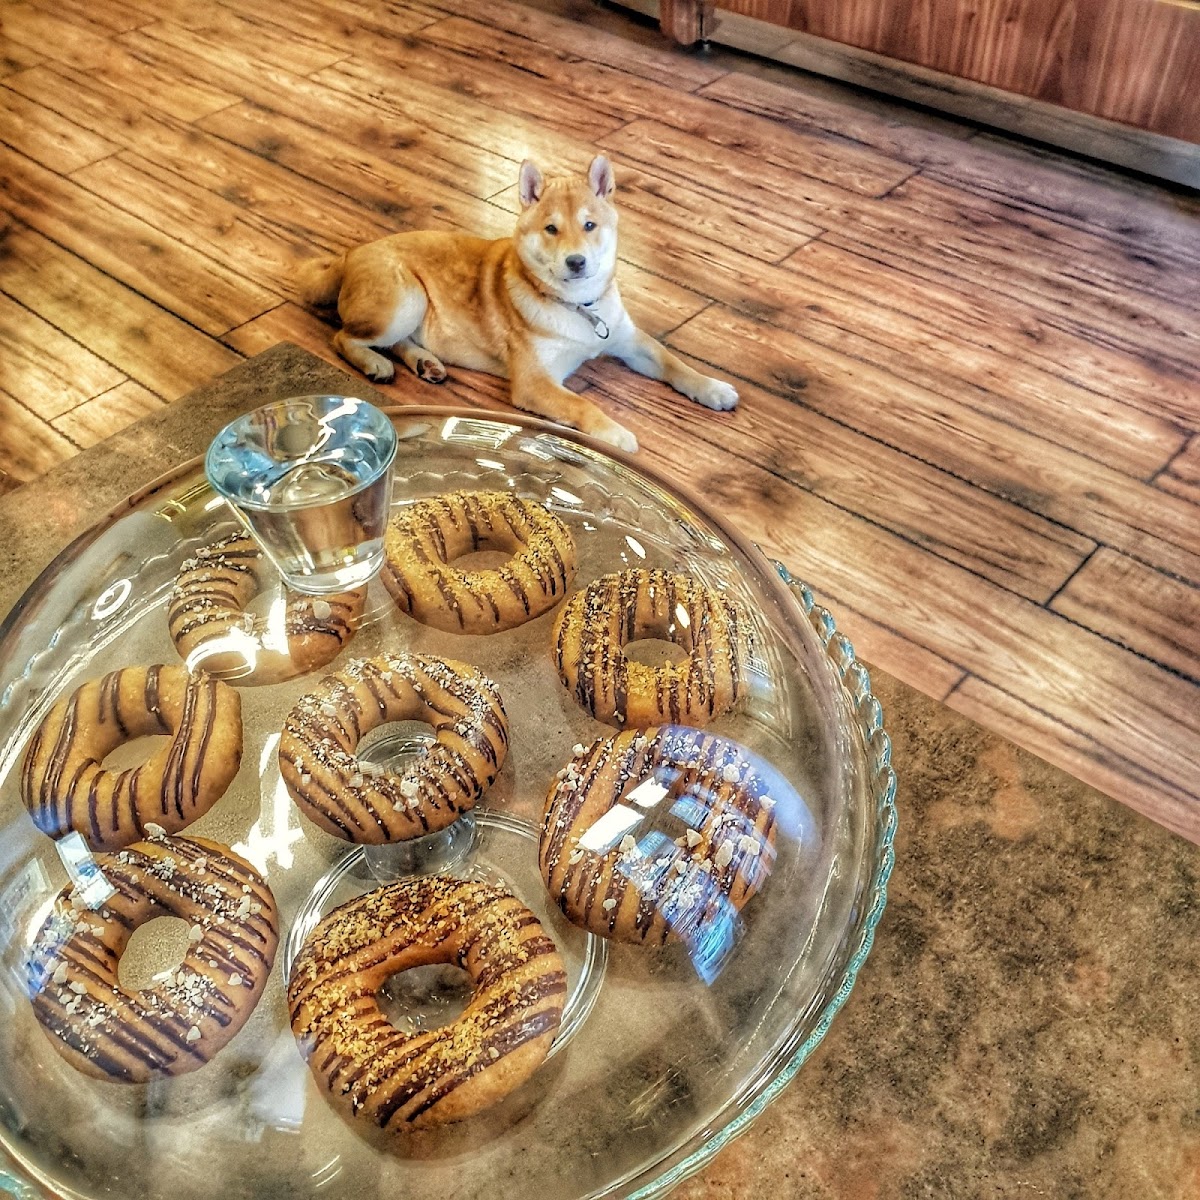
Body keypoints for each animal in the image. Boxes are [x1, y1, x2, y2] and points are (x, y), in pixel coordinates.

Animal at [295, 151, 734, 451]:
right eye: (551, 229)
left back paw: (425, 362)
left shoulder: (628, 339)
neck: (580, 309)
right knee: (343, 337)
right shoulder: (535, 382)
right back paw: (375, 363)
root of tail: (352, 252)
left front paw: (712, 388)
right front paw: (616, 433)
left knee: (395, 341)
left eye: (590, 225)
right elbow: (583, 406)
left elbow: (674, 364)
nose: (577, 262)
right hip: (405, 300)